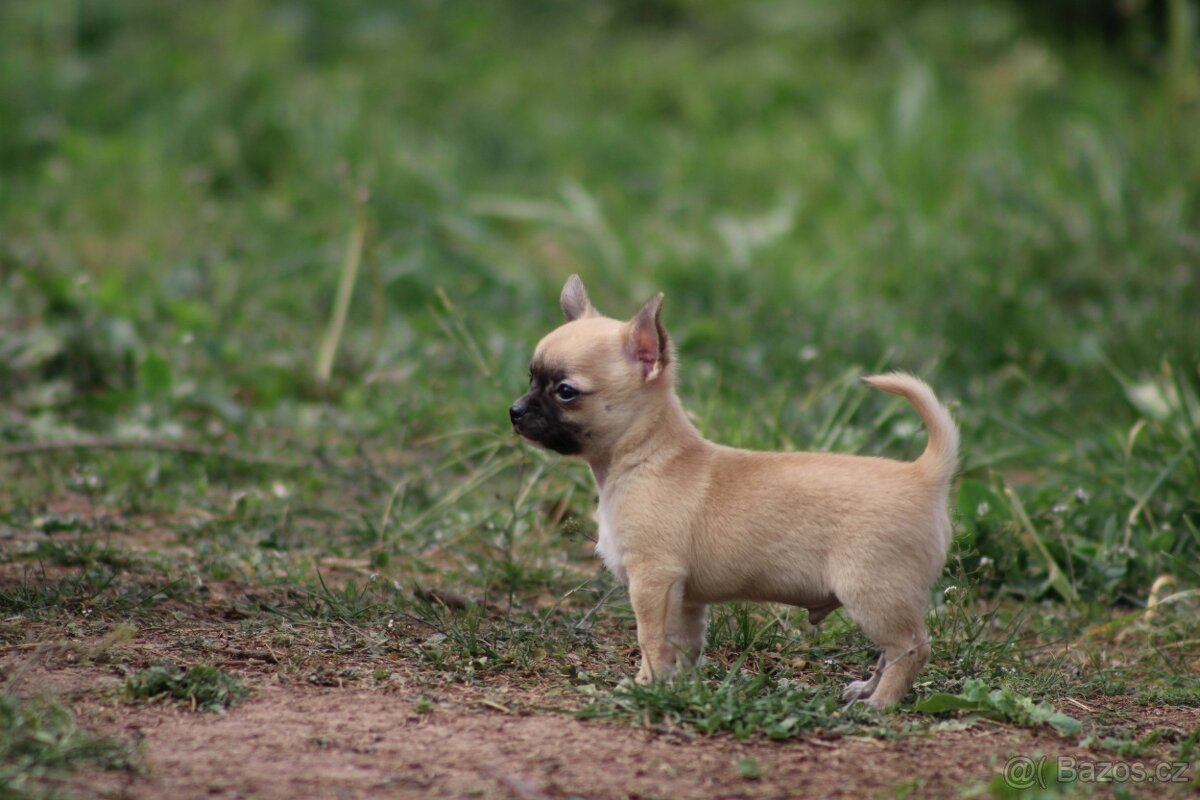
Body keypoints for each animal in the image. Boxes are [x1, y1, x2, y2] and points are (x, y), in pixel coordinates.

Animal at [511, 275, 960, 705]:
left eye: (565, 392)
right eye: (531, 377)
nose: (514, 411)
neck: (647, 457)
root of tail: (923, 474)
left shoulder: (653, 581)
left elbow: (651, 640)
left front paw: (643, 685)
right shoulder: (686, 599)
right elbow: (685, 645)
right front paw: (678, 687)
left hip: (872, 594)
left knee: (910, 648)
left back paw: (879, 704)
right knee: (890, 652)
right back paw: (866, 690)